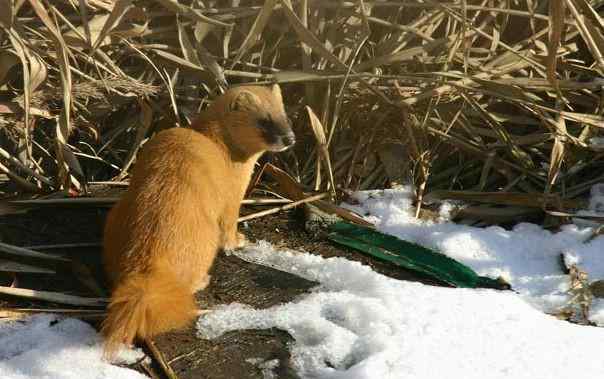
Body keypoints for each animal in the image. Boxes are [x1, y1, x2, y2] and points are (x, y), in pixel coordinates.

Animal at [101, 84, 294, 358]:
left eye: (285, 116)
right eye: (264, 120)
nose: (291, 138)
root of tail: (149, 261)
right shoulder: (233, 193)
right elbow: (230, 224)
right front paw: (239, 240)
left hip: (115, 219)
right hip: (205, 240)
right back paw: (203, 280)